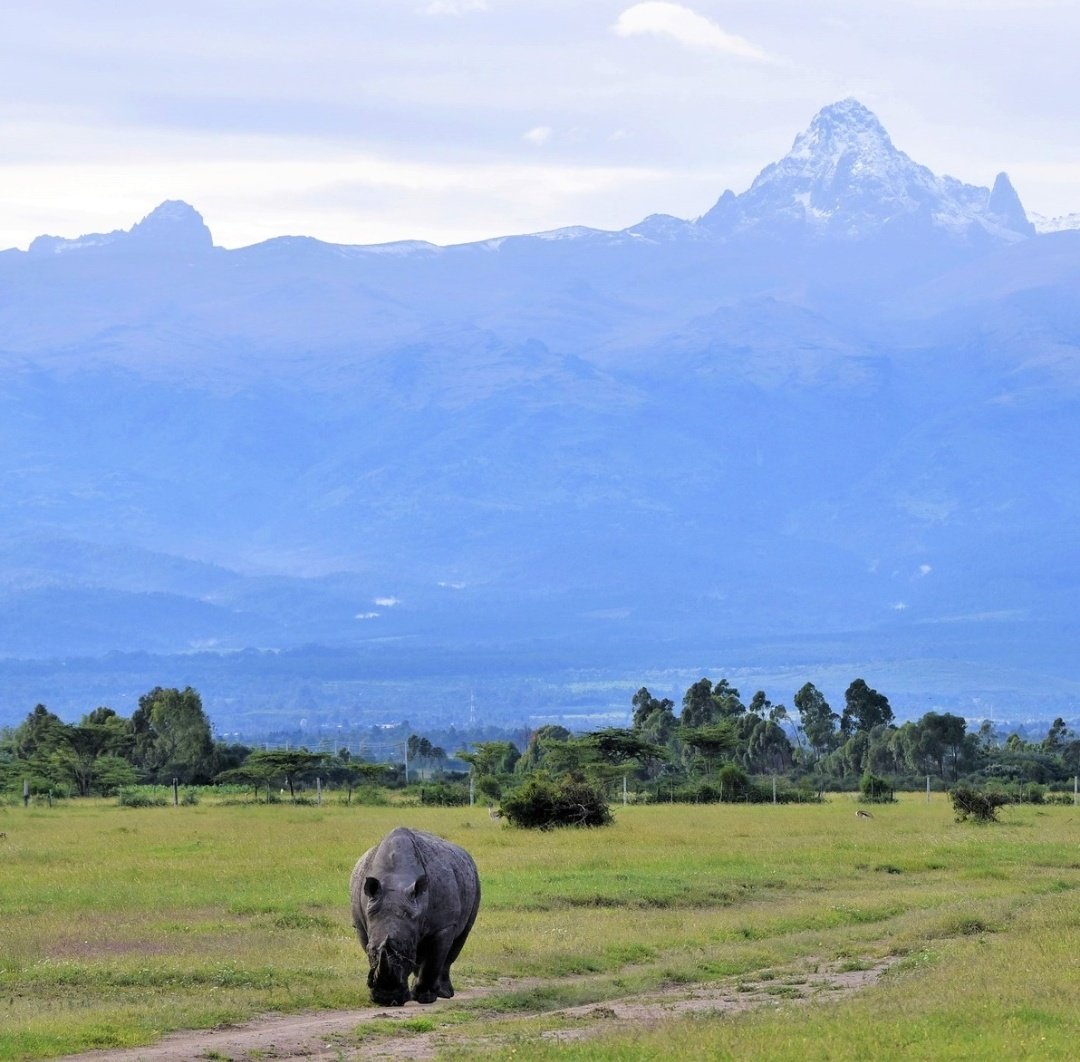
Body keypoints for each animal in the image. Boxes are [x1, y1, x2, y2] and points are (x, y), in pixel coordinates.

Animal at [349, 829, 481, 1006]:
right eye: (371, 952)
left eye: (407, 950)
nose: (387, 1000)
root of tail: (465, 854)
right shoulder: (362, 926)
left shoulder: (443, 926)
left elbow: (433, 961)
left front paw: (425, 998)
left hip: (474, 878)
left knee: (459, 940)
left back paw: (444, 993)